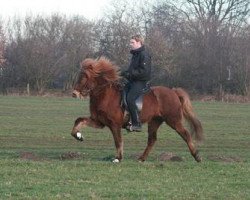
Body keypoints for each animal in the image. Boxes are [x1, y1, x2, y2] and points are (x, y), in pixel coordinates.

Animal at [71, 56, 204, 162]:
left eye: (85, 77)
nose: (74, 93)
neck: (105, 95)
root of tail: (174, 92)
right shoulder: (99, 122)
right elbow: (79, 120)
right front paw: (78, 135)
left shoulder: (115, 124)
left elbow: (118, 141)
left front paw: (118, 158)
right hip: (154, 121)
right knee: (152, 140)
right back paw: (141, 158)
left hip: (173, 120)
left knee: (185, 134)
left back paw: (197, 156)